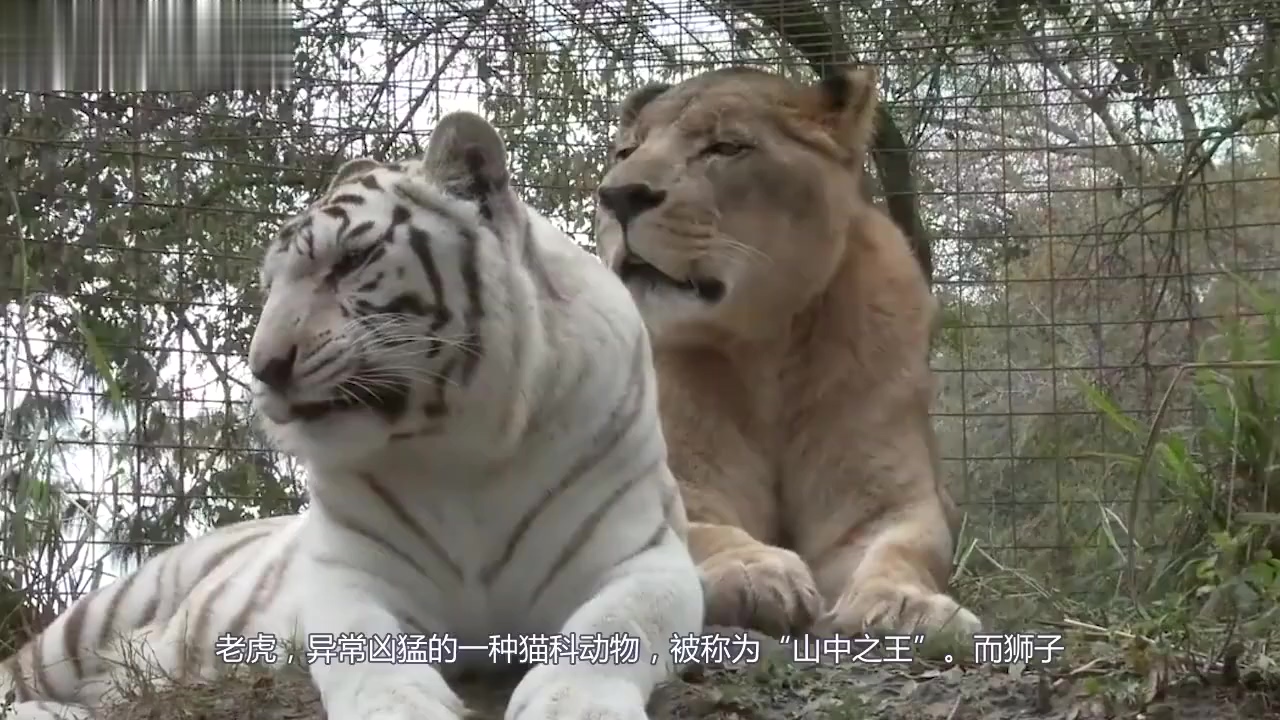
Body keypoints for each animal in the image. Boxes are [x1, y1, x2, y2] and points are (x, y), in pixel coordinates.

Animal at [0, 110, 704, 720]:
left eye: (349, 261)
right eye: (270, 284)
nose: (264, 367)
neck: (463, 449)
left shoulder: (647, 557)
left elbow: (616, 626)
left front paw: (574, 704)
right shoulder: (349, 575)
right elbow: (365, 647)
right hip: (98, 615)